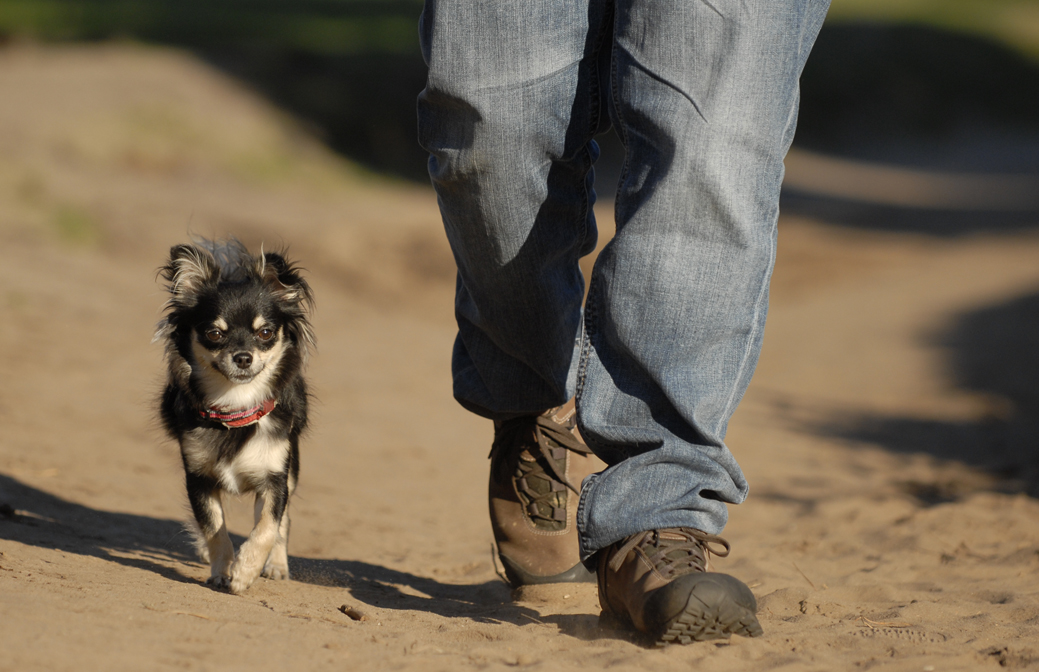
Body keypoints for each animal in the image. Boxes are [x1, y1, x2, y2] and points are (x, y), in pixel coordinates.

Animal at [154, 240, 311, 594]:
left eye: (265, 333)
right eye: (214, 334)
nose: (243, 357)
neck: (237, 405)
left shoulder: (274, 478)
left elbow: (268, 526)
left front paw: (244, 572)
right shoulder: (198, 477)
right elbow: (214, 527)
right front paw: (222, 569)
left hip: (292, 469)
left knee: (284, 520)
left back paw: (276, 565)